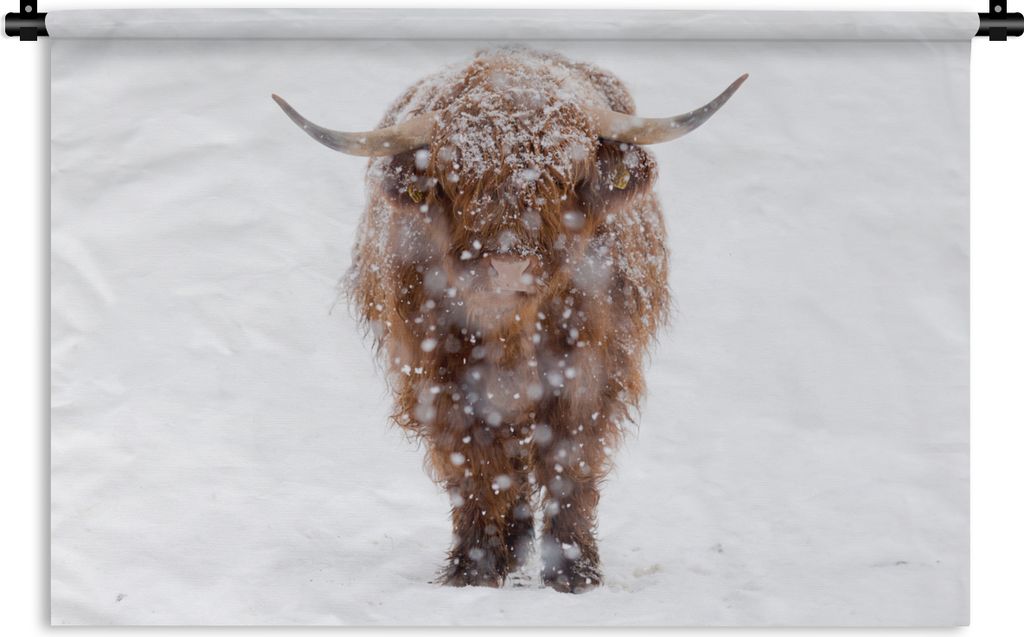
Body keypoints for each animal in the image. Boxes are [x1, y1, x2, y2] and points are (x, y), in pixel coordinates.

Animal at [274, 48, 745, 593]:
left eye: (564, 175)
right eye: (458, 176)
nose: (508, 266)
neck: (511, 328)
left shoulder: (590, 367)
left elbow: (570, 458)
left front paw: (573, 572)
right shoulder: (439, 375)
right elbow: (474, 466)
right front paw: (473, 568)